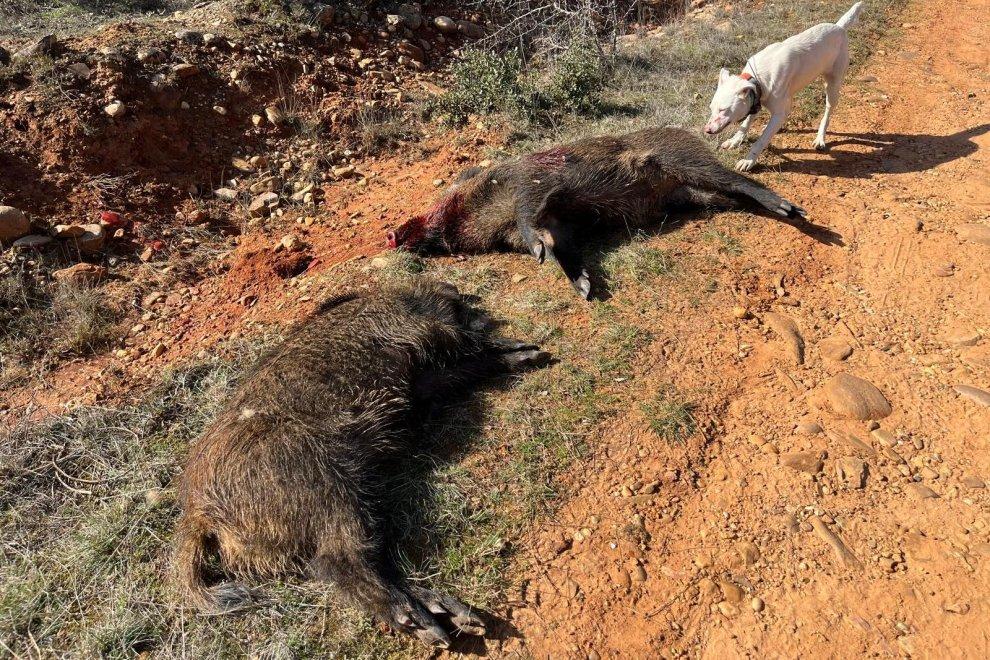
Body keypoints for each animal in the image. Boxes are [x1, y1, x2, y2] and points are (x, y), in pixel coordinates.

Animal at [704, 2, 864, 171]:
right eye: (711, 109)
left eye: (723, 110)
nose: (706, 130)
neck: (756, 78)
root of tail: (839, 27)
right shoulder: (756, 99)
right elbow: (746, 124)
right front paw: (735, 140)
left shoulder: (769, 106)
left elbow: (760, 141)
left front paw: (749, 160)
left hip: (833, 86)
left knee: (827, 111)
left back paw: (820, 138)